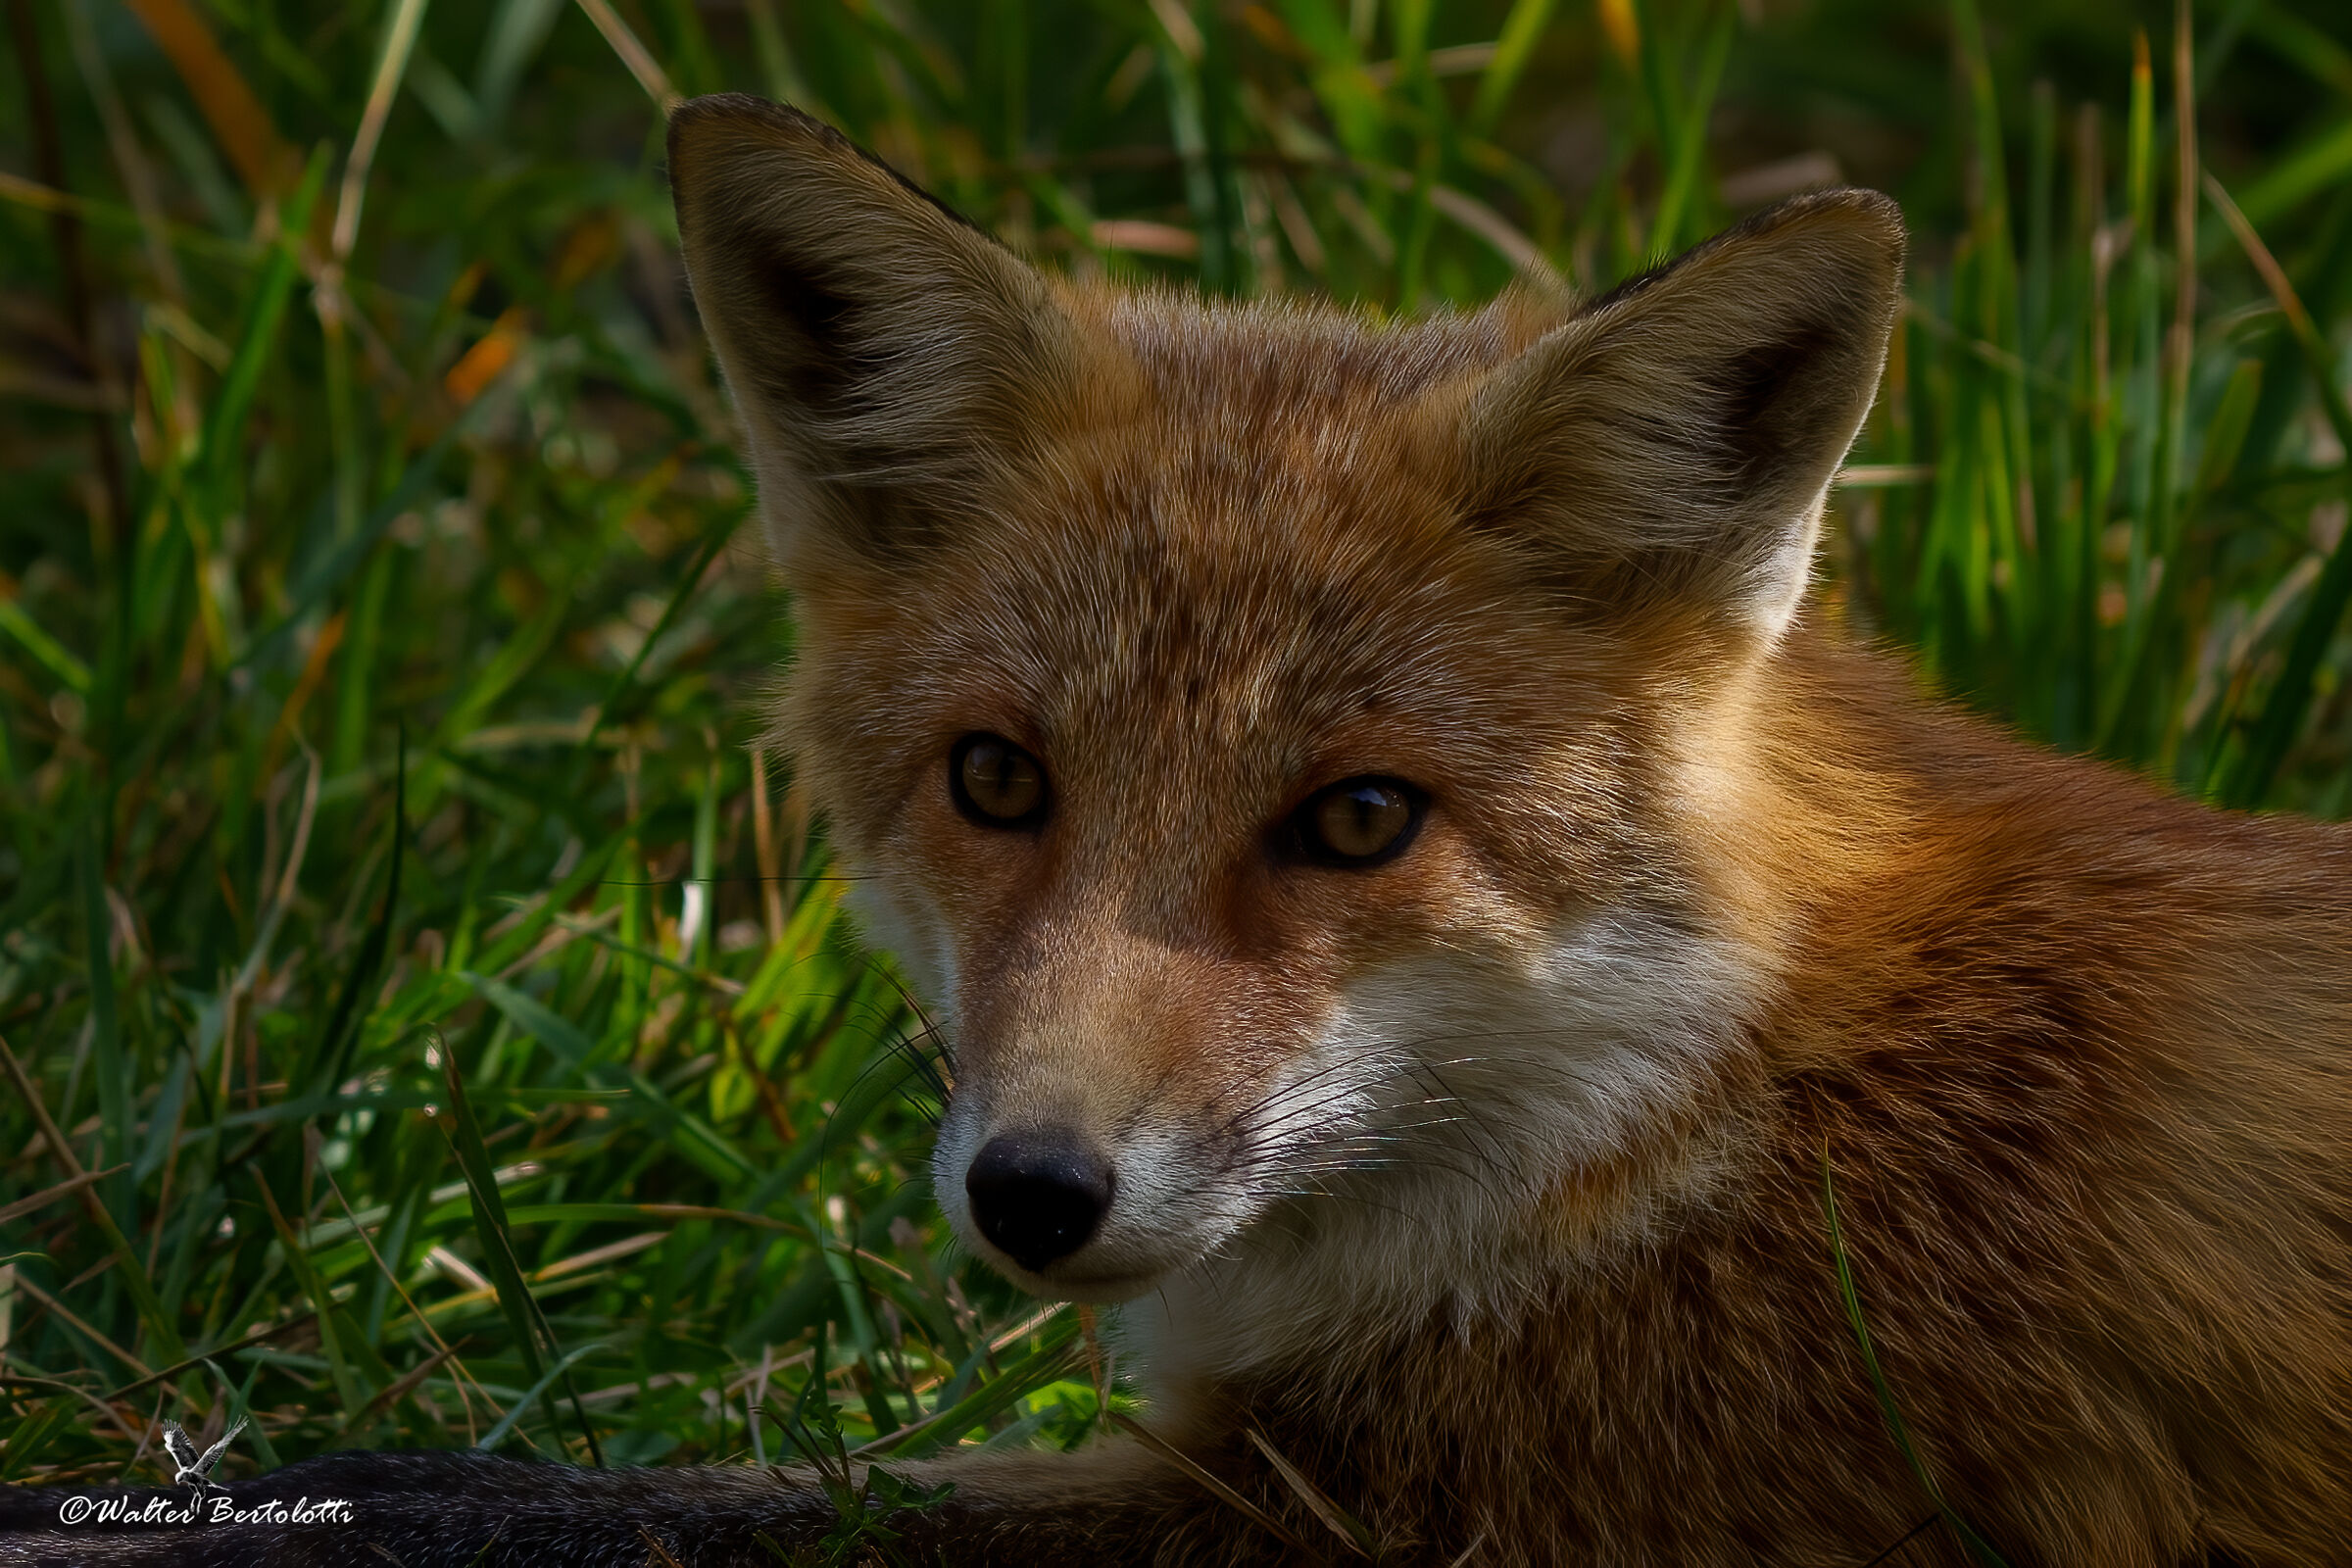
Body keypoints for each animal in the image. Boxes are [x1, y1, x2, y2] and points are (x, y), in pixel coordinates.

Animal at [8, 93, 2351, 1568]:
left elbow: (615, 1512)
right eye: (998, 779)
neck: (1716, 1102)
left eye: (1361, 818)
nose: (1035, 1192)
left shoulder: (1430, 1515)